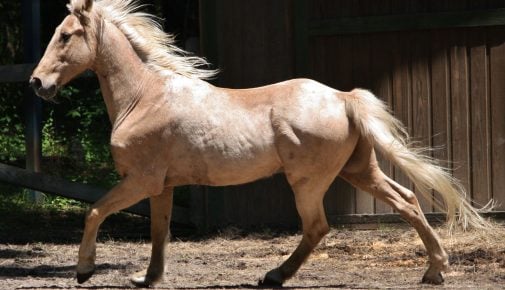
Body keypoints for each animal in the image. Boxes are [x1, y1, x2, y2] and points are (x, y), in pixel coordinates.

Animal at [29, 0, 490, 286]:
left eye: (66, 35)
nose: (37, 83)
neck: (144, 96)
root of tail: (344, 97)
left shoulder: (140, 180)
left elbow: (94, 211)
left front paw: (84, 270)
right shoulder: (162, 186)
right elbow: (160, 232)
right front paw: (147, 278)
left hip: (309, 181)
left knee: (318, 226)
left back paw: (274, 276)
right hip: (359, 170)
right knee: (407, 200)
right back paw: (434, 271)